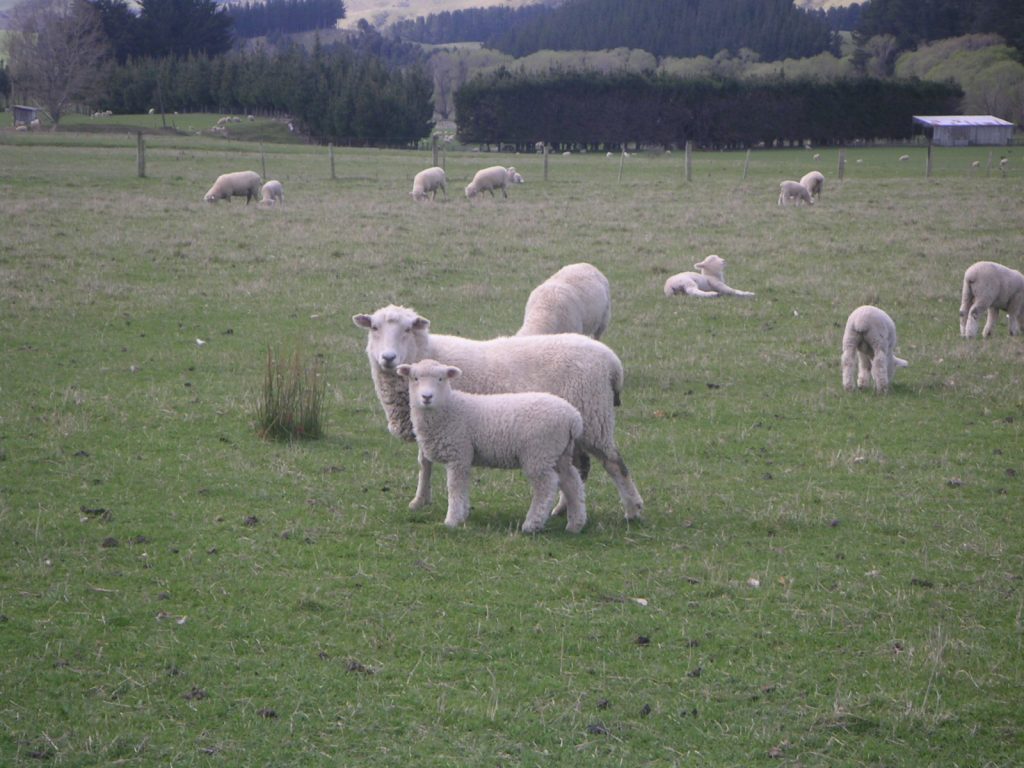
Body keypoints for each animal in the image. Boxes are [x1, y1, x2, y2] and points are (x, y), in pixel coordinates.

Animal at [396, 359, 587, 533]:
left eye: (441, 379)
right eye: (415, 378)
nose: (427, 397)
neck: (449, 408)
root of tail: (573, 417)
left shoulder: (459, 453)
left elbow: (454, 487)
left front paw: (452, 520)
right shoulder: (464, 457)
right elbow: (463, 486)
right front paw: (463, 514)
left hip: (539, 453)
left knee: (546, 486)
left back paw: (532, 524)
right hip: (559, 453)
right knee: (572, 482)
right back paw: (575, 524)